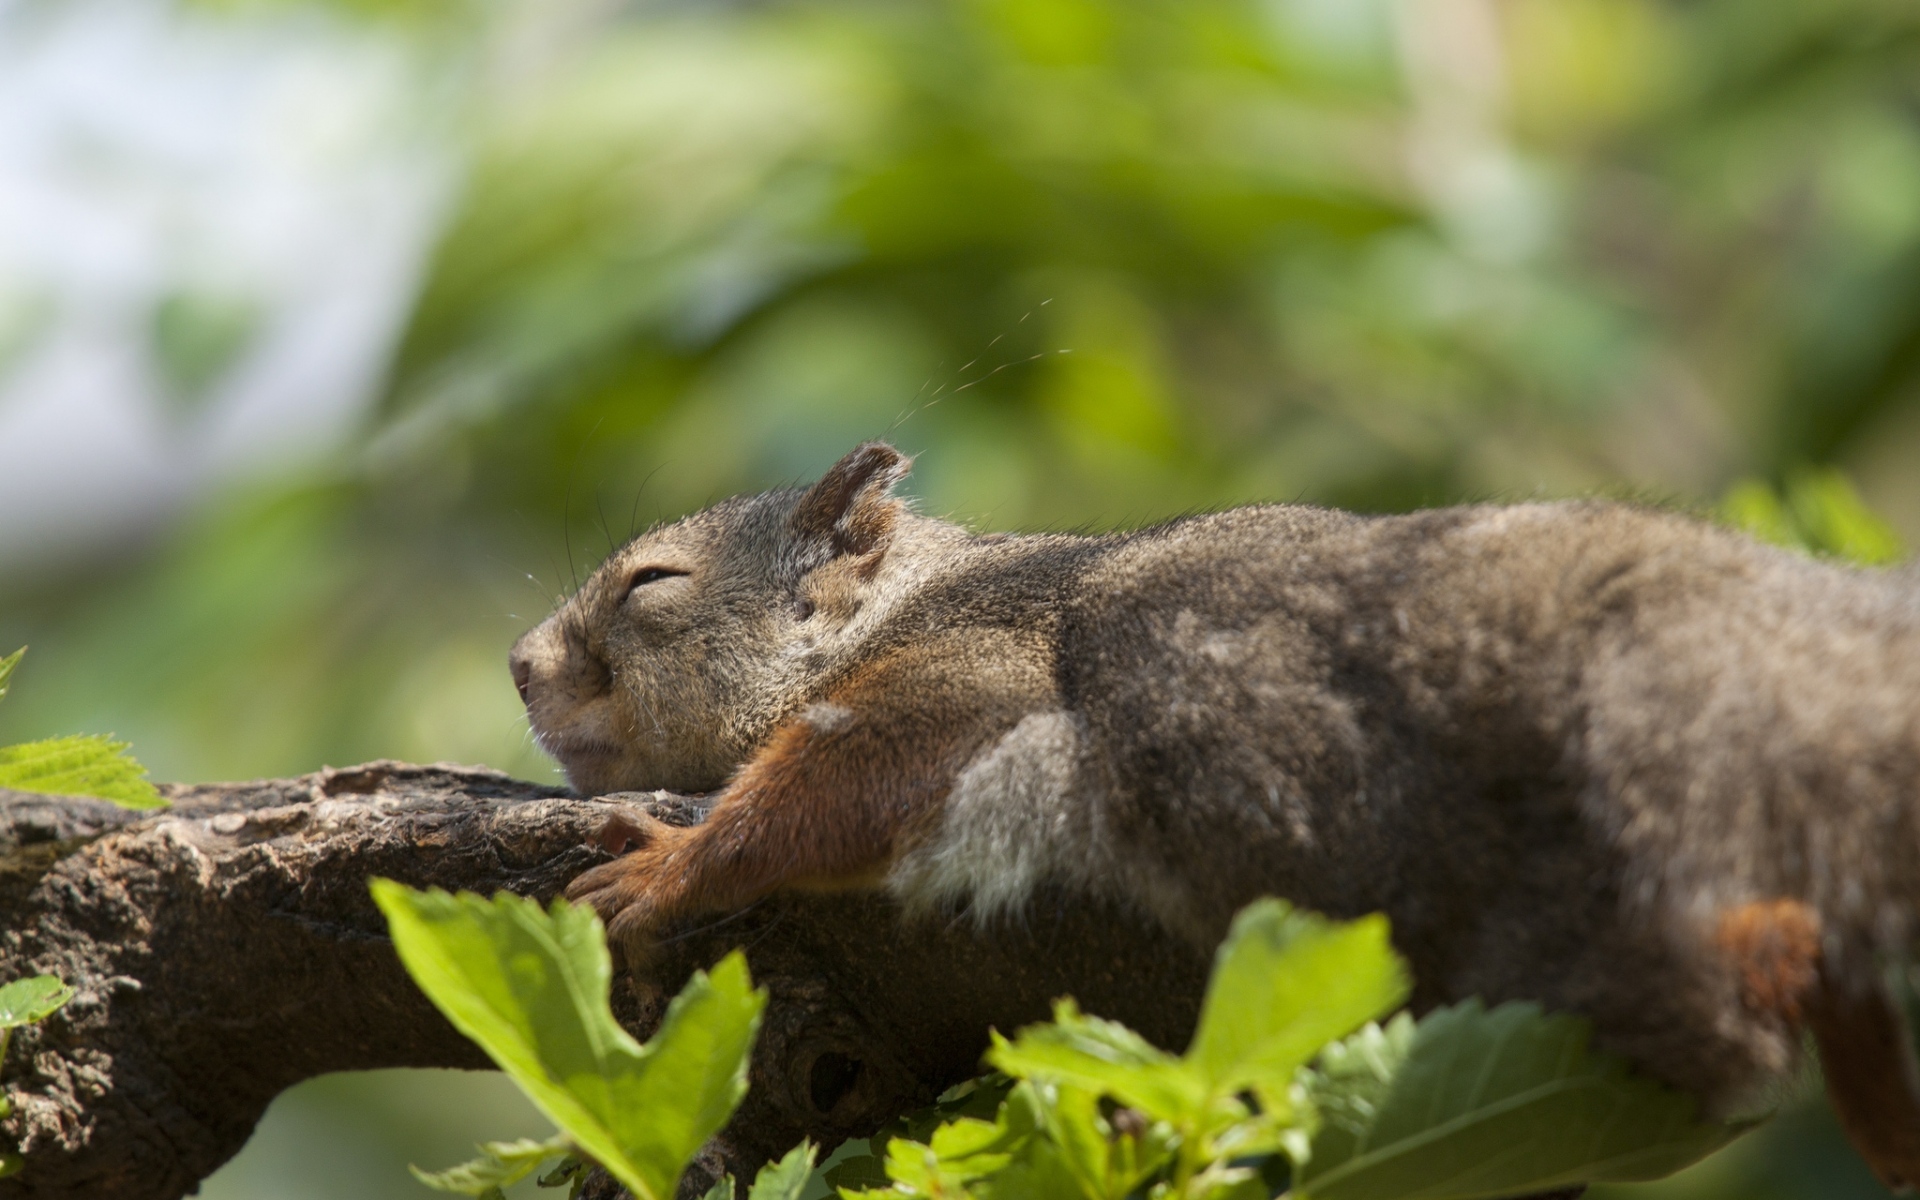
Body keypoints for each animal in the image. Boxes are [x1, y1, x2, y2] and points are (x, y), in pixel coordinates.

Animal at [510, 442, 1920, 1188]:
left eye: (650, 585)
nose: (519, 666)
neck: (905, 604)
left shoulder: (970, 673)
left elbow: (844, 781)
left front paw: (672, 865)